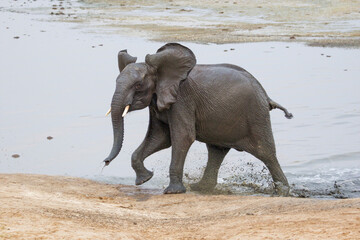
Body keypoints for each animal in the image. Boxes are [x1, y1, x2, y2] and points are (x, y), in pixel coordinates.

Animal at [102, 42, 292, 195]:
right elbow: (161, 138)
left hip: (256, 115)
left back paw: (283, 191)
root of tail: (266, 96)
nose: (105, 162)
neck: (161, 73)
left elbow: (182, 137)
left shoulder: (182, 100)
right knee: (216, 151)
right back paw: (200, 187)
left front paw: (172, 192)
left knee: (265, 152)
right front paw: (145, 179)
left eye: (138, 85)